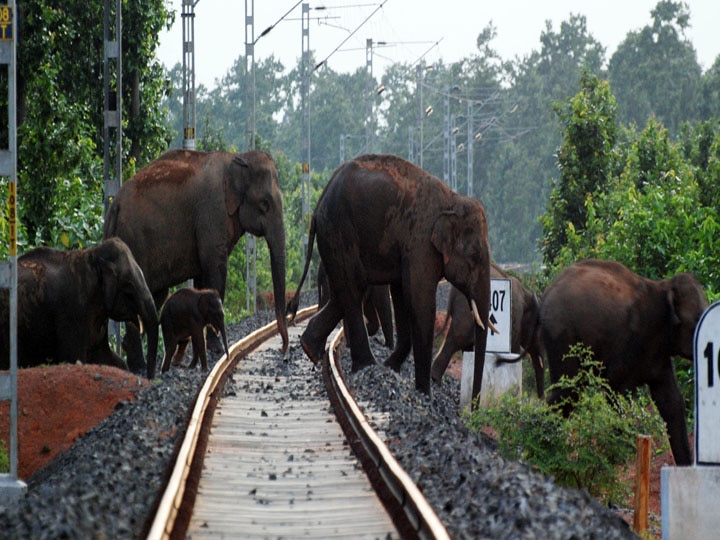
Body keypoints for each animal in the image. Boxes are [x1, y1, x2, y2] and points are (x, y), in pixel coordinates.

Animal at [0, 238, 159, 374]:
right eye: (129, 287)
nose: (149, 377)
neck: (91, 257)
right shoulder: (72, 308)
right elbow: (73, 358)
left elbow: (107, 358)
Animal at [105, 148, 290, 376]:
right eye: (264, 204)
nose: (283, 350)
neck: (237, 159)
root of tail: (115, 206)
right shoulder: (212, 214)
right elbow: (215, 270)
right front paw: (216, 348)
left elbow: (203, 276)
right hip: (134, 242)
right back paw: (139, 366)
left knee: (155, 296)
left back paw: (133, 361)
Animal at [288, 153, 496, 396]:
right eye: (474, 256)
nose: (474, 403)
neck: (453, 200)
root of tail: (318, 204)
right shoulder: (420, 243)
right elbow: (419, 300)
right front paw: (424, 393)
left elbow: (401, 295)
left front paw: (391, 367)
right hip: (339, 230)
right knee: (353, 286)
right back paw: (366, 366)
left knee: (348, 289)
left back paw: (310, 348)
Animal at [430, 264, 544, 398]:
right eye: (538, 329)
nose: (542, 400)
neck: (527, 293)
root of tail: (452, 293)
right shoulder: (515, 318)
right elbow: (514, 350)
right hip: (464, 311)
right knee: (457, 339)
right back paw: (436, 380)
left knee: (463, 344)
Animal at [540, 258, 708, 464]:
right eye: (697, 321)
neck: (663, 287)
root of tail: (547, 291)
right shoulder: (629, 341)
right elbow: (617, 394)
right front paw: (612, 461)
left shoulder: (659, 355)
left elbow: (671, 400)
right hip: (562, 336)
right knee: (568, 391)